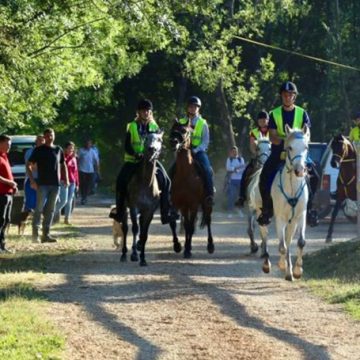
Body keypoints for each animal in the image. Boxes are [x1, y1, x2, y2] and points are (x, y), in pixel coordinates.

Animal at [169, 121, 214, 258]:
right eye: (172, 129)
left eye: (184, 131)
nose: (173, 142)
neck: (185, 174)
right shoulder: (180, 204)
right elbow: (181, 224)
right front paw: (179, 246)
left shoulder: (193, 204)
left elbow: (190, 227)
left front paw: (188, 249)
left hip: (206, 203)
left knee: (208, 220)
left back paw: (210, 246)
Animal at [270, 126, 310, 282]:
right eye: (290, 147)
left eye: (306, 147)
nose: (299, 171)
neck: (292, 187)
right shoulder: (280, 218)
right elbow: (282, 246)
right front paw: (282, 266)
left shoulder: (301, 216)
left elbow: (300, 242)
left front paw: (298, 270)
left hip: (292, 222)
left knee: (289, 240)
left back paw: (290, 272)